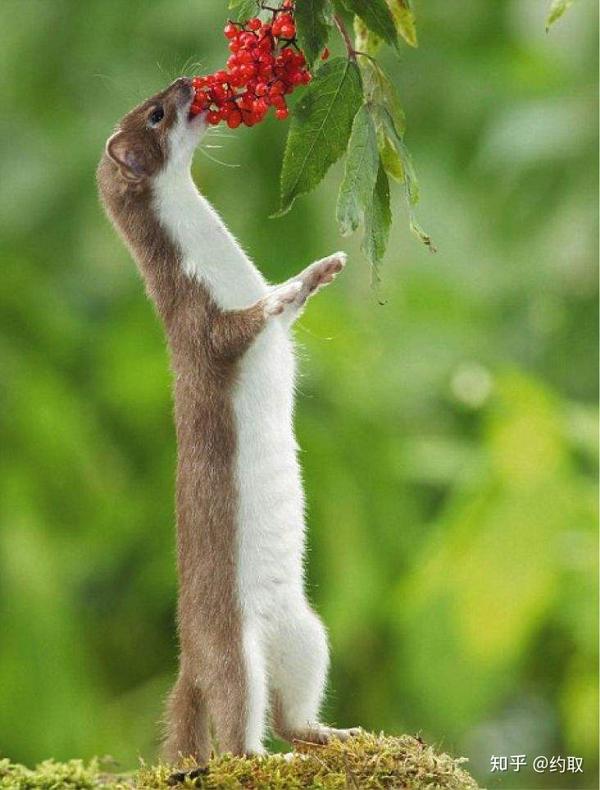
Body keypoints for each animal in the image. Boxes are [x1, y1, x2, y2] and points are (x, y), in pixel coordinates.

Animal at [95, 77, 354, 764]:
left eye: (165, 93)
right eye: (157, 112)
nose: (190, 83)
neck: (233, 273)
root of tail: (189, 663)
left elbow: (289, 311)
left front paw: (324, 269)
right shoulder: (203, 329)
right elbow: (250, 322)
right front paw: (294, 284)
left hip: (309, 632)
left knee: (292, 711)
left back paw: (333, 731)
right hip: (233, 654)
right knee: (238, 726)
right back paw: (267, 756)